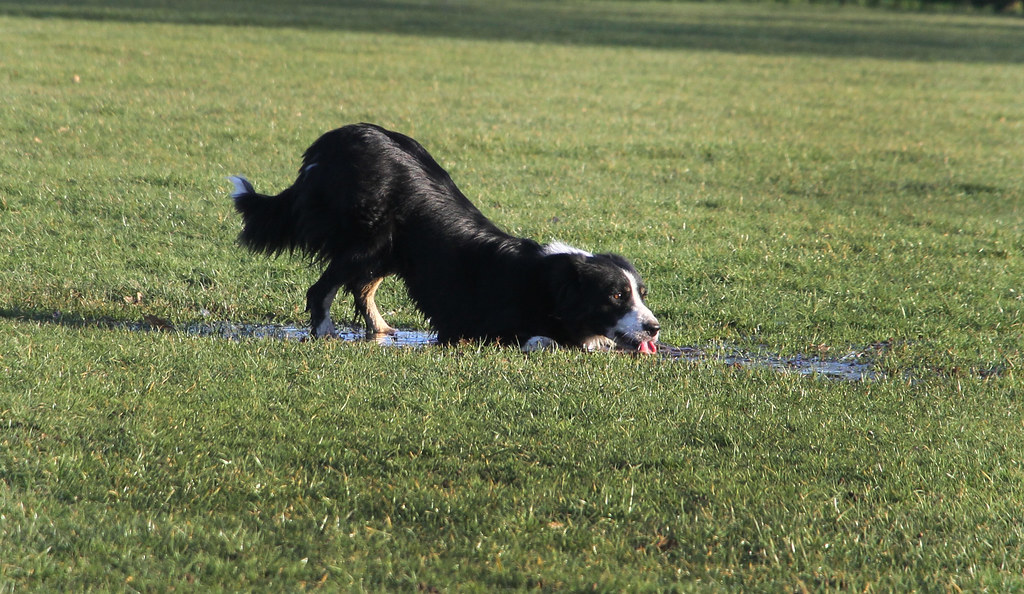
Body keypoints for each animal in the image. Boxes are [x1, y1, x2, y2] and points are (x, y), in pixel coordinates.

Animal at [228, 121, 659, 352]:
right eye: (616, 295)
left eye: (640, 294)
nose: (655, 327)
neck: (548, 282)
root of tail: (329, 141)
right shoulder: (478, 326)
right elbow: (539, 338)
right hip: (367, 240)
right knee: (323, 288)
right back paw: (326, 333)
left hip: (389, 249)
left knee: (362, 287)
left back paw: (381, 329)